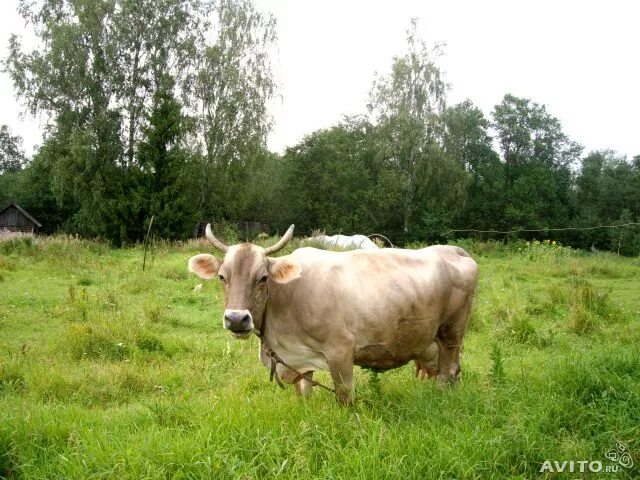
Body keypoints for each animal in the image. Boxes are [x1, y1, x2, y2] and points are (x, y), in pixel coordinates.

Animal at [188, 223, 478, 404]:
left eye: (262, 278)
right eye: (222, 277)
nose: (237, 319)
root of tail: (453, 249)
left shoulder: (341, 351)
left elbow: (345, 397)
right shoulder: (298, 359)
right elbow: (303, 392)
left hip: (452, 333)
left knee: (449, 371)